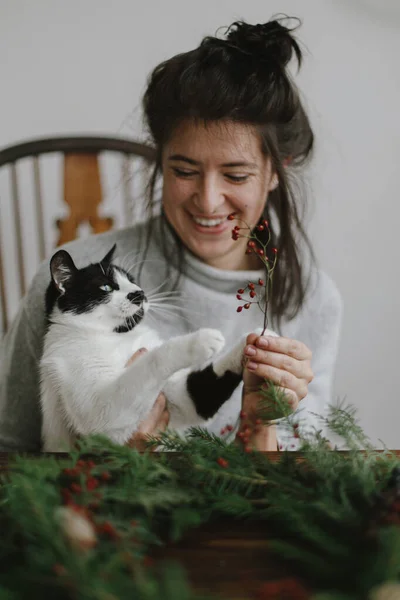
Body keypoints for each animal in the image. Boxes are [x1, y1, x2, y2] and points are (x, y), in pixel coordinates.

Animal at [39, 244, 248, 450]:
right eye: (106, 286)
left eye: (132, 280)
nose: (139, 293)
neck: (117, 336)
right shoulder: (99, 410)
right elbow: (152, 360)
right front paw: (201, 340)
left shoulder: (182, 401)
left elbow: (204, 390)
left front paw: (251, 342)